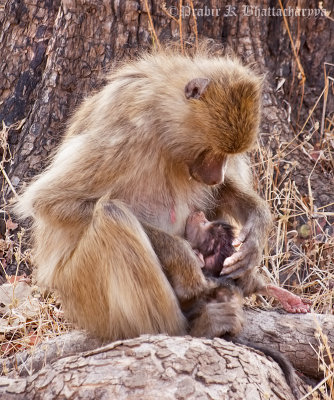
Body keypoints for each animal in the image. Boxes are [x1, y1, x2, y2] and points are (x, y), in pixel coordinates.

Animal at [16, 47, 272, 340]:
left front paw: (255, 232)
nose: (215, 176)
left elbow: (219, 195)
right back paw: (187, 327)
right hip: (84, 297)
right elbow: (52, 201)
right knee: (112, 215)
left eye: (227, 154)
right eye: (211, 151)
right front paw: (183, 257)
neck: (163, 122)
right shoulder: (126, 132)